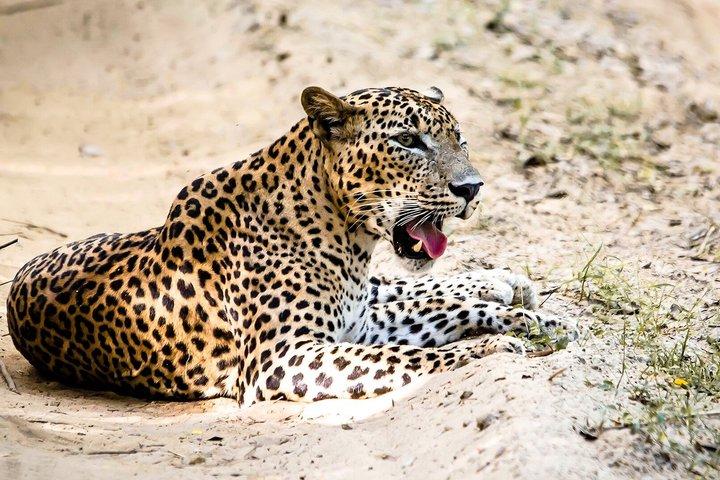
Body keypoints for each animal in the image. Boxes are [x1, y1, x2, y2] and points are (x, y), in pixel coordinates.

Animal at [6, 86, 578, 406]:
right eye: (407, 142)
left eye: (460, 138)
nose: (472, 188)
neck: (344, 236)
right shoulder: (287, 356)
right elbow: (409, 355)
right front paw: (495, 346)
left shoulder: (353, 325)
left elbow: (440, 317)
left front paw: (540, 324)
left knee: (405, 288)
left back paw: (506, 283)